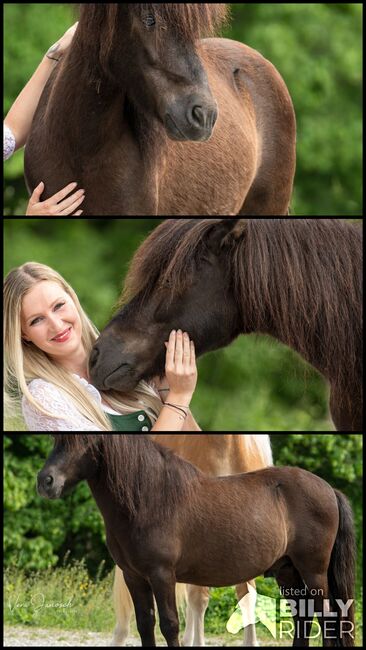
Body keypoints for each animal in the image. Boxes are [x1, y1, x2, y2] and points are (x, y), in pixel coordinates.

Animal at [38, 432, 356, 644]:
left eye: (84, 442)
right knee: (303, 618)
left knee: (327, 617)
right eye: (56, 440)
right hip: (287, 571)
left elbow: (169, 624)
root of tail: (329, 490)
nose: (45, 481)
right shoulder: (134, 577)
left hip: (313, 572)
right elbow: (145, 624)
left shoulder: (162, 575)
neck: (150, 499)